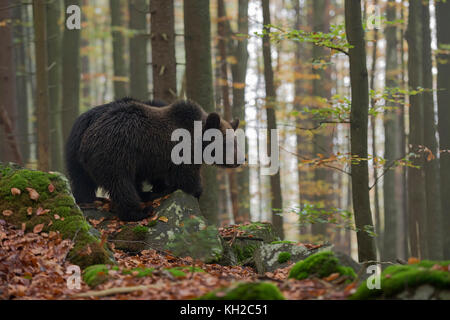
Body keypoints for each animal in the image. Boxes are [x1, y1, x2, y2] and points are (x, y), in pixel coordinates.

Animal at [65, 99, 241, 221]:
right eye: (226, 143)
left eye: (235, 141)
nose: (240, 159)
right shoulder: (180, 153)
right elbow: (186, 177)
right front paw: (196, 191)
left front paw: (162, 189)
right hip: (117, 153)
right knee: (121, 183)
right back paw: (139, 211)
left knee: (82, 180)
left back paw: (86, 200)